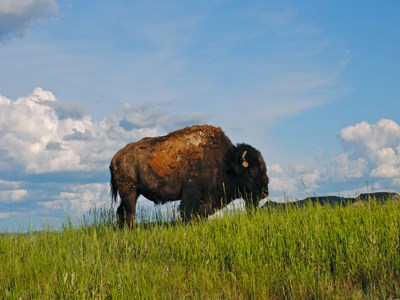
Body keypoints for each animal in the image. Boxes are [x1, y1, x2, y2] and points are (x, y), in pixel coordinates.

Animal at [109, 125, 268, 227]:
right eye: (253, 172)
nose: (265, 193)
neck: (225, 162)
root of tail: (116, 157)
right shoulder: (191, 195)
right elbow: (187, 214)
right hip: (130, 193)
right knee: (129, 213)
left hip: (132, 194)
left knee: (121, 212)